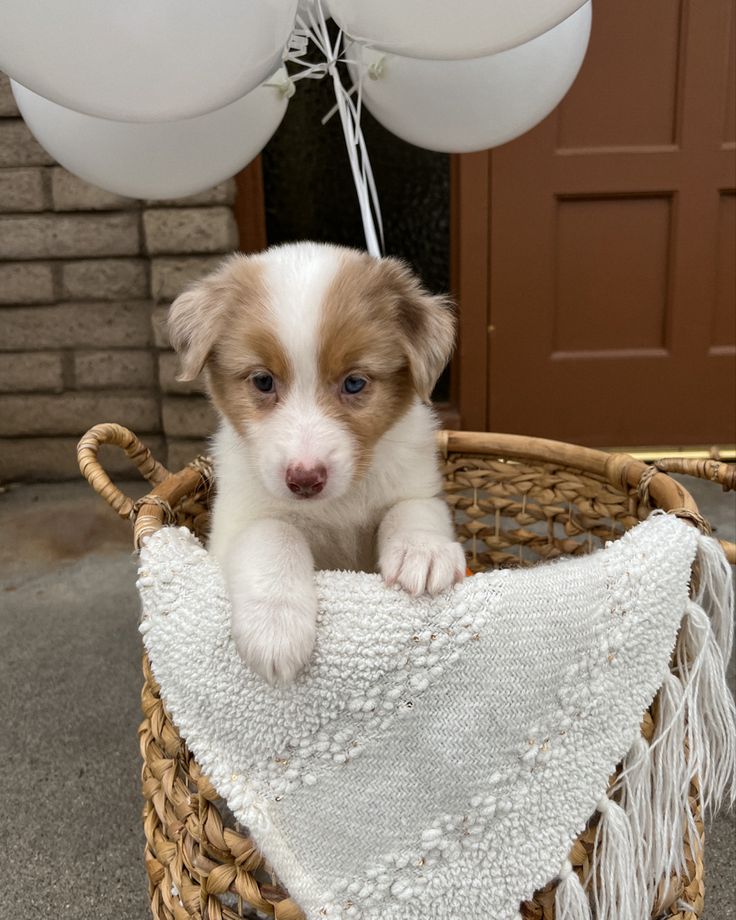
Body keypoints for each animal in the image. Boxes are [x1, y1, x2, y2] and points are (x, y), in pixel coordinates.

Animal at [170, 241, 462, 688]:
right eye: (263, 381)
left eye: (355, 383)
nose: (305, 479)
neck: (333, 508)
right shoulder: (237, 520)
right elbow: (275, 533)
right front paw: (275, 629)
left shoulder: (417, 486)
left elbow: (411, 511)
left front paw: (423, 554)